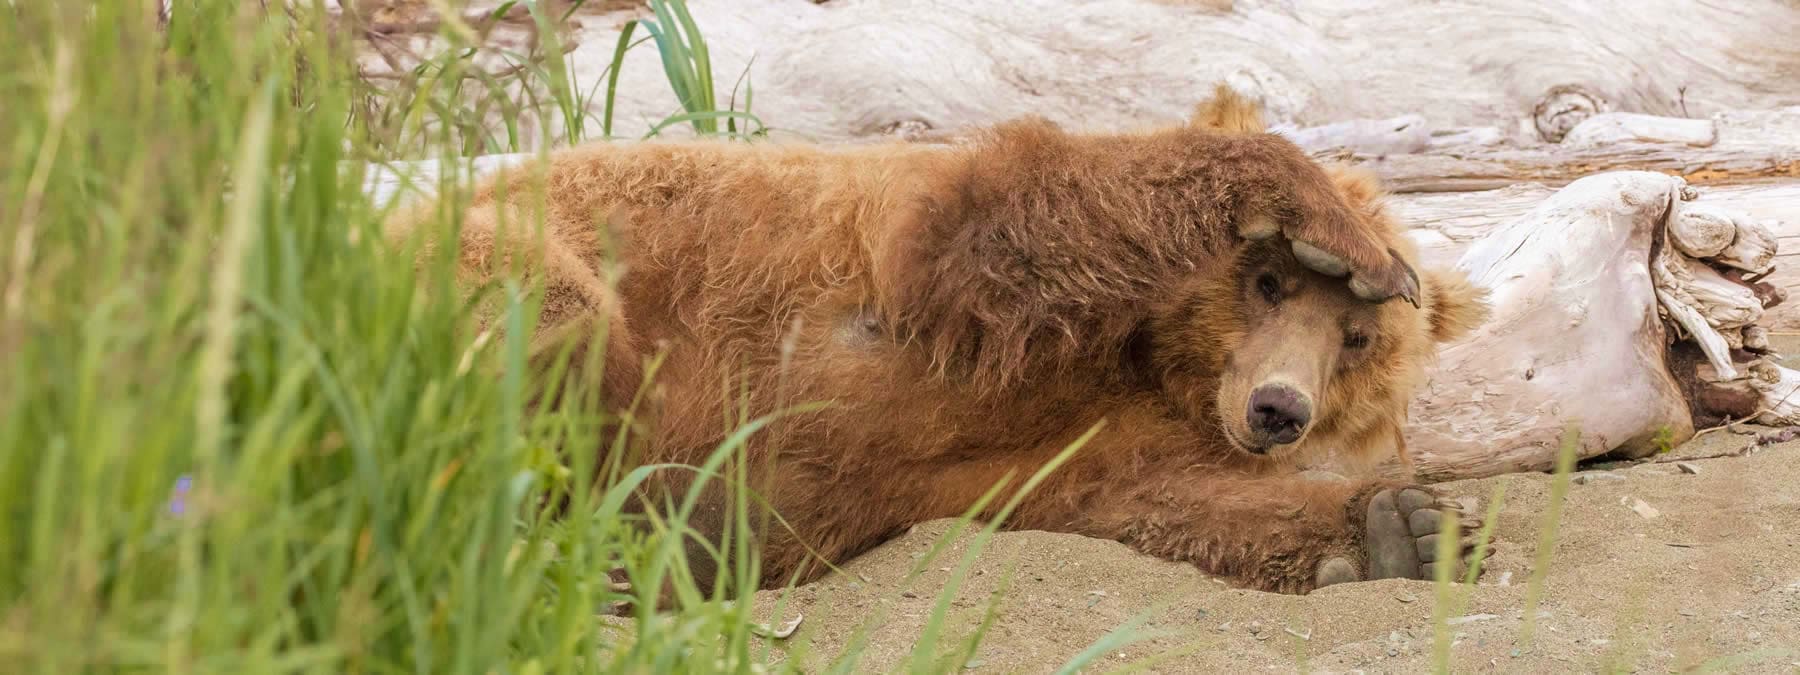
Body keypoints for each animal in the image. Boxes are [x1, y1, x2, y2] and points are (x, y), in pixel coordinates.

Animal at [383, 88, 1493, 599]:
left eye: (1355, 341)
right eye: (1267, 283)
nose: (1276, 408)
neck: (1143, 361)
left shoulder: (1075, 452)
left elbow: (1173, 502)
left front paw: (1406, 526)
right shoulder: (912, 267)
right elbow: (1027, 222)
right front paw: (1324, 219)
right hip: (499, 246)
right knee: (543, 328)